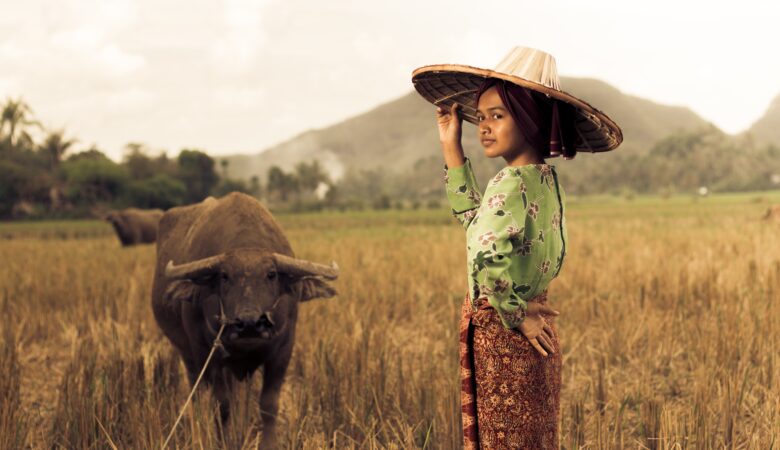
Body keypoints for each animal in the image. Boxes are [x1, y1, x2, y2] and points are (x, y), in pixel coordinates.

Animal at [151, 192, 336, 446]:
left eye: (271, 274)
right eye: (224, 276)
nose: (249, 324)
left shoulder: (283, 349)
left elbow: (268, 404)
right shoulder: (207, 353)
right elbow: (221, 406)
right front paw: (223, 441)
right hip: (188, 354)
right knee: (197, 394)